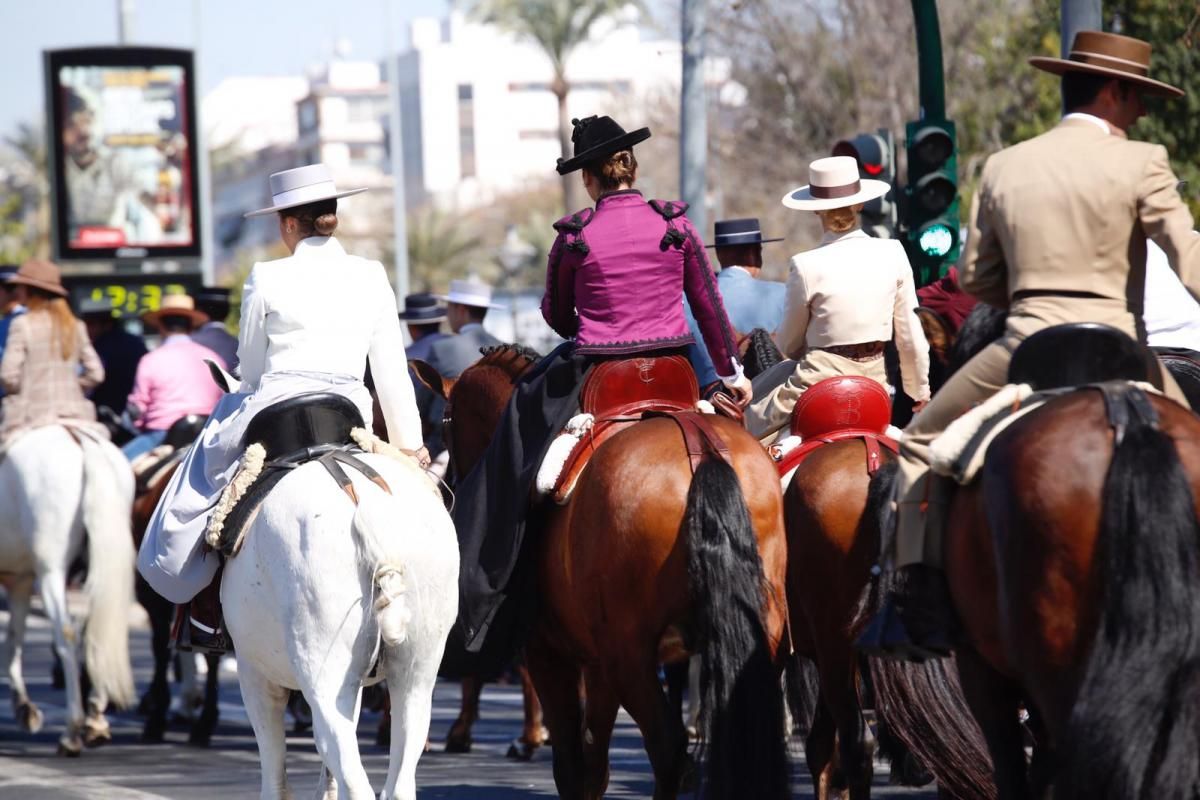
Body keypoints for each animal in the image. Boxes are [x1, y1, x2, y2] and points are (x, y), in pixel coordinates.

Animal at [0, 424, 136, 758]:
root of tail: (78, 438)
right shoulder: (20, 580)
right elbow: (13, 641)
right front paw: (23, 707)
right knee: (102, 628)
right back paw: (95, 718)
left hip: (52, 571)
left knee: (67, 635)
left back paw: (71, 731)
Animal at [220, 441, 458, 796]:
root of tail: (370, 511)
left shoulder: (254, 672)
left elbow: (275, 771)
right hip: (417, 669)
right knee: (399, 774)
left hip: (322, 670)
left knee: (347, 769)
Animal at [427, 345, 792, 800]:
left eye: (446, 429)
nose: (449, 487)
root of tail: (700, 448)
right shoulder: (596, 664)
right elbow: (594, 761)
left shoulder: (550, 653)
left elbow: (572, 764)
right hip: (757, 641)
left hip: (630, 658)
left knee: (668, 749)